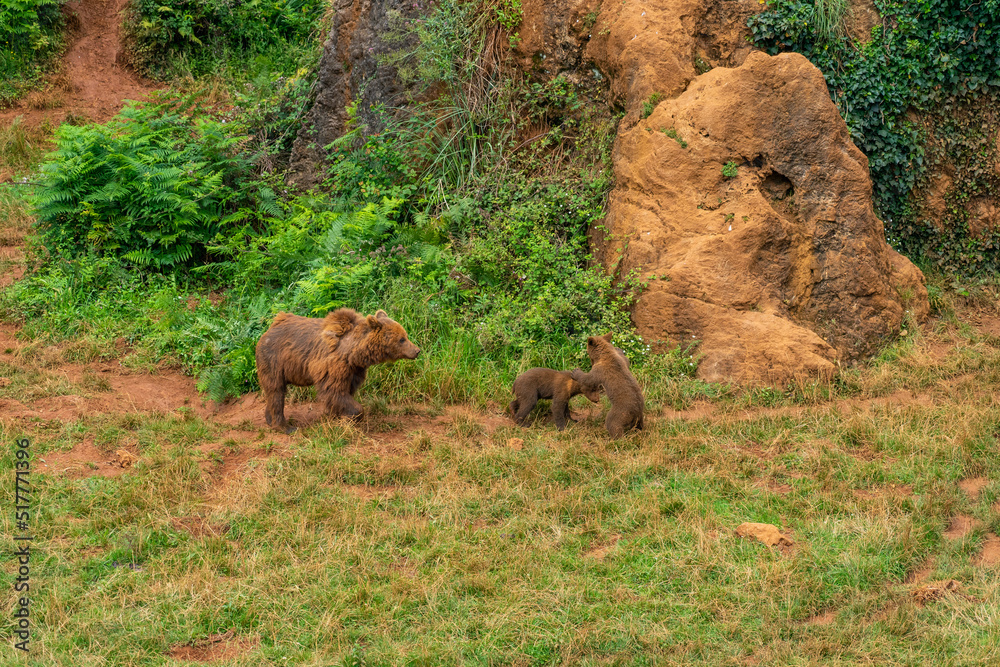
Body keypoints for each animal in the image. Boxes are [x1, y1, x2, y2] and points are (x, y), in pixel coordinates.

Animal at [255, 308, 419, 432]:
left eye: (405, 335)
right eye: (402, 339)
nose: (417, 350)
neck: (354, 353)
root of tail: (268, 330)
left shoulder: (354, 370)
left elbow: (345, 392)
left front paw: (335, 416)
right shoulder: (334, 365)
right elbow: (335, 391)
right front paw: (352, 416)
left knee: (274, 392)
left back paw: (269, 419)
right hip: (274, 360)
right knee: (276, 391)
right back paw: (285, 427)